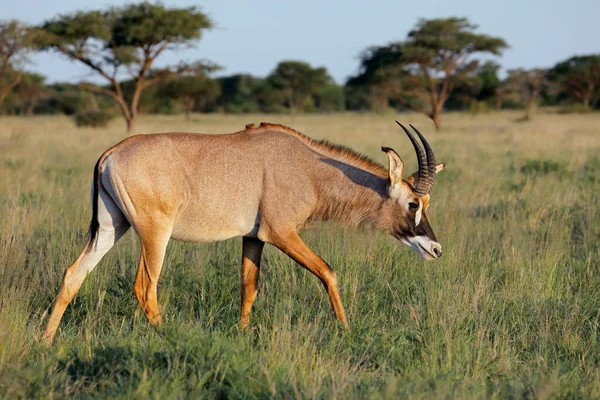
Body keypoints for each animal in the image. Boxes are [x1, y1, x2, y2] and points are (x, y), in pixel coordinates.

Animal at [42, 121, 442, 344]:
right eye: (413, 204)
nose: (436, 249)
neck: (308, 166)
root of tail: (111, 152)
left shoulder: (254, 237)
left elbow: (248, 287)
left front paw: (242, 335)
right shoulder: (281, 233)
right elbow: (328, 272)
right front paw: (345, 331)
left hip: (113, 226)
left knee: (74, 274)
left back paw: (45, 343)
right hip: (155, 233)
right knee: (145, 287)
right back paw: (171, 340)